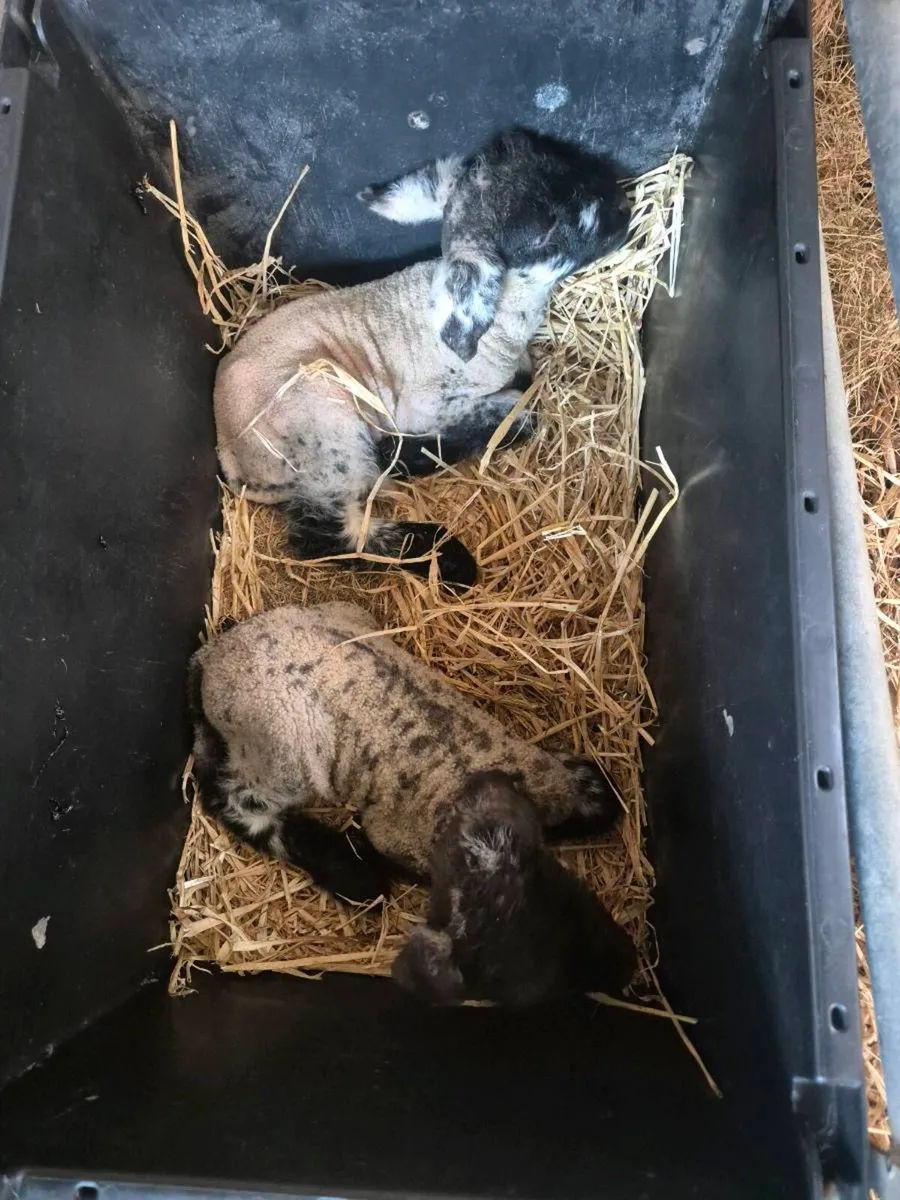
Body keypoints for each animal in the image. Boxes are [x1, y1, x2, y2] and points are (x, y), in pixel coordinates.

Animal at [213, 129, 630, 589]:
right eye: (548, 230)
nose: (623, 209)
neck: (500, 323)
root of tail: (228, 449)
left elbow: (524, 381)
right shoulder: (425, 405)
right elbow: (522, 415)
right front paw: (415, 453)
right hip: (323, 429)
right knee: (329, 534)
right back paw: (447, 556)